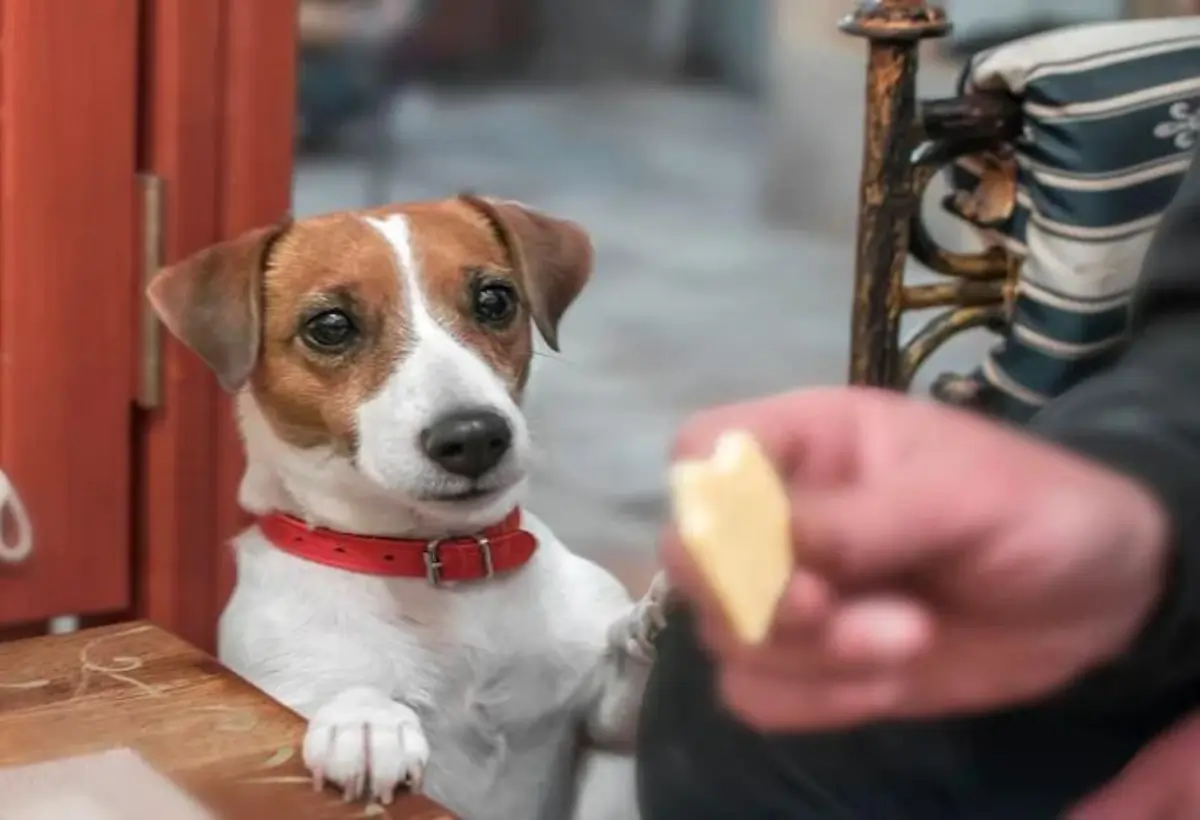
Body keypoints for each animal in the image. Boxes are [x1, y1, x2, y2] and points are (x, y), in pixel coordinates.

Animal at [146, 195, 672, 816]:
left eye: (495, 300)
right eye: (330, 326)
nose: (474, 437)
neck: (438, 559)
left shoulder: (603, 719)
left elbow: (628, 686)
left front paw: (661, 611)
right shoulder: (279, 683)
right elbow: (346, 689)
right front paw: (365, 721)